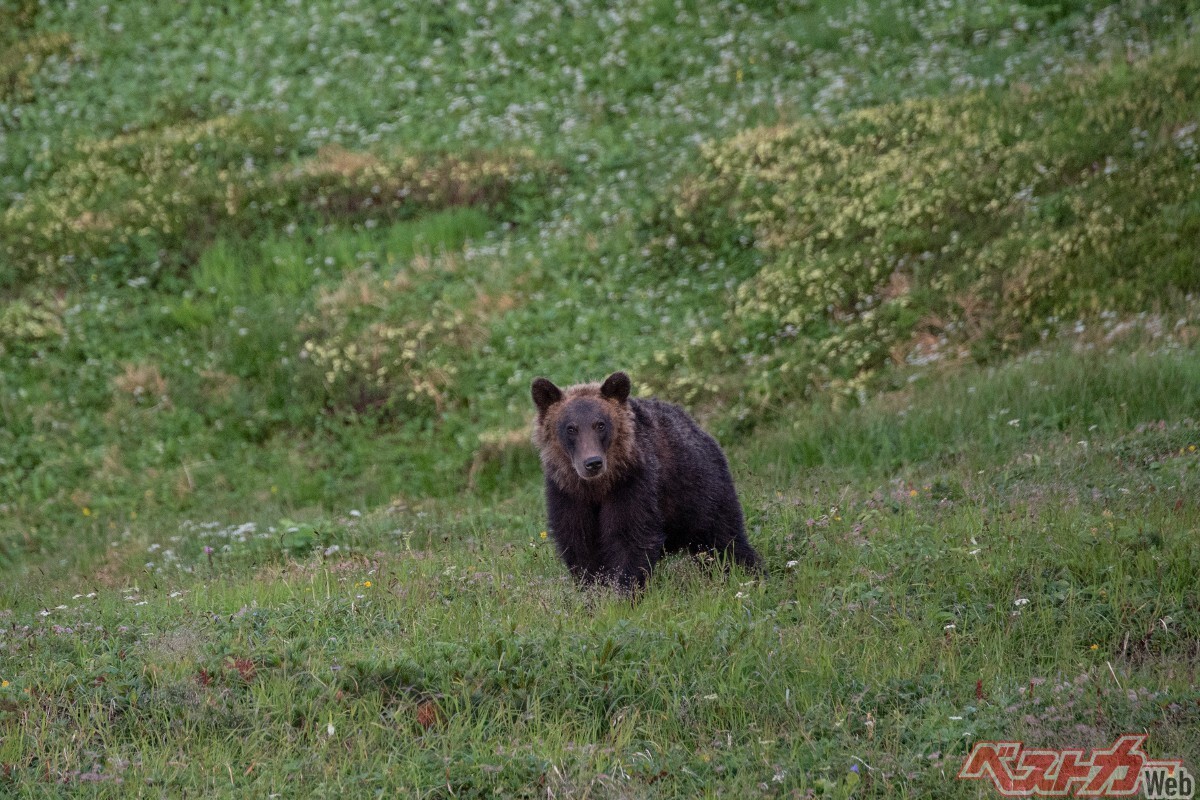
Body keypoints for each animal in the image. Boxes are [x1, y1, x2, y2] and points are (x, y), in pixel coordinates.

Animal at [532, 371, 763, 592]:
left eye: (600, 424)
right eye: (571, 428)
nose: (592, 463)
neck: (597, 488)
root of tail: (696, 425)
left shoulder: (632, 484)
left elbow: (631, 537)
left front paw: (626, 592)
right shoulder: (567, 494)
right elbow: (580, 545)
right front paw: (594, 591)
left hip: (699, 489)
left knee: (723, 538)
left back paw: (750, 574)